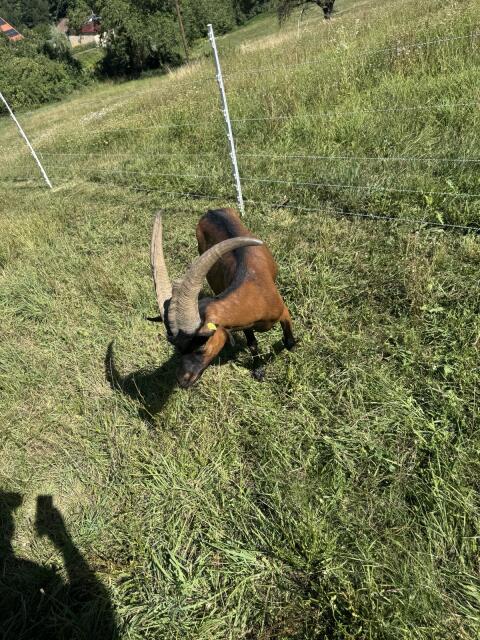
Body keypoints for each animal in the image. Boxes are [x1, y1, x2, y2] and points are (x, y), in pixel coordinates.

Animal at [149, 208, 296, 388]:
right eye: (179, 348)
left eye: (201, 347)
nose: (182, 381)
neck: (253, 292)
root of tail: (212, 211)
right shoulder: (244, 324)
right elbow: (252, 344)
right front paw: (258, 370)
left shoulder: (283, 311)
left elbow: (289, 342)